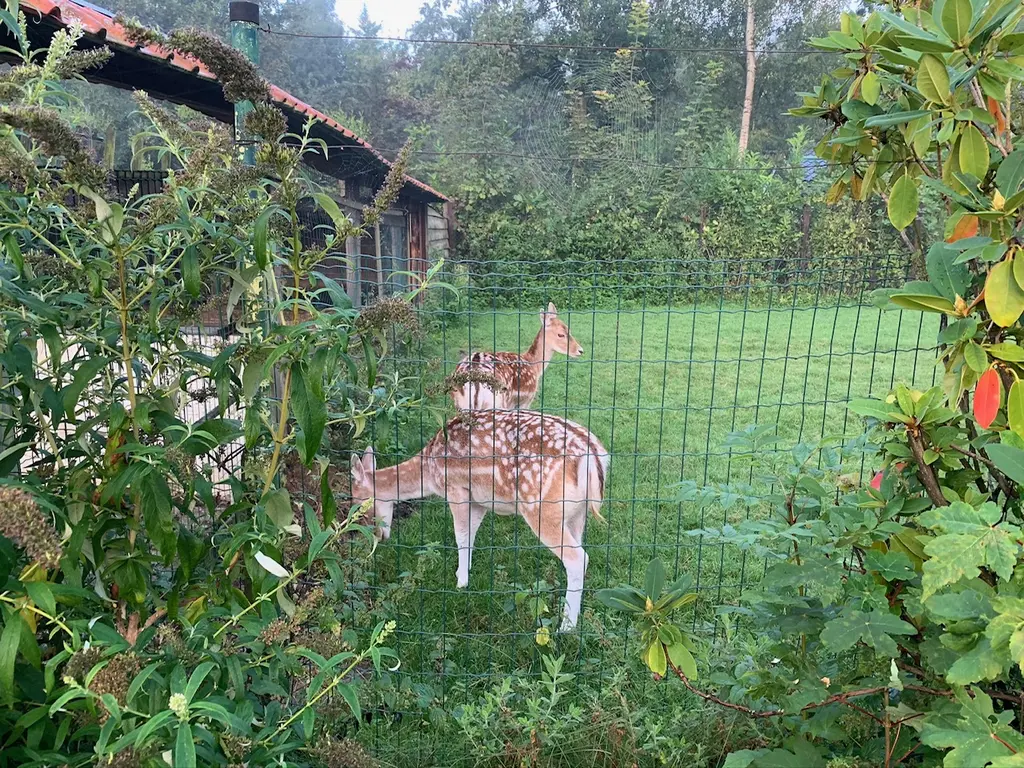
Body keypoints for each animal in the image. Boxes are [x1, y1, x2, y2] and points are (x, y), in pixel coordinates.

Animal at [450, 305, 585, 415]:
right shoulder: (526, 400)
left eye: (569, 330)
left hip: (460, 405)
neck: (534, 366)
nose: (580, 350)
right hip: (498, 403)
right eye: (560, 334)